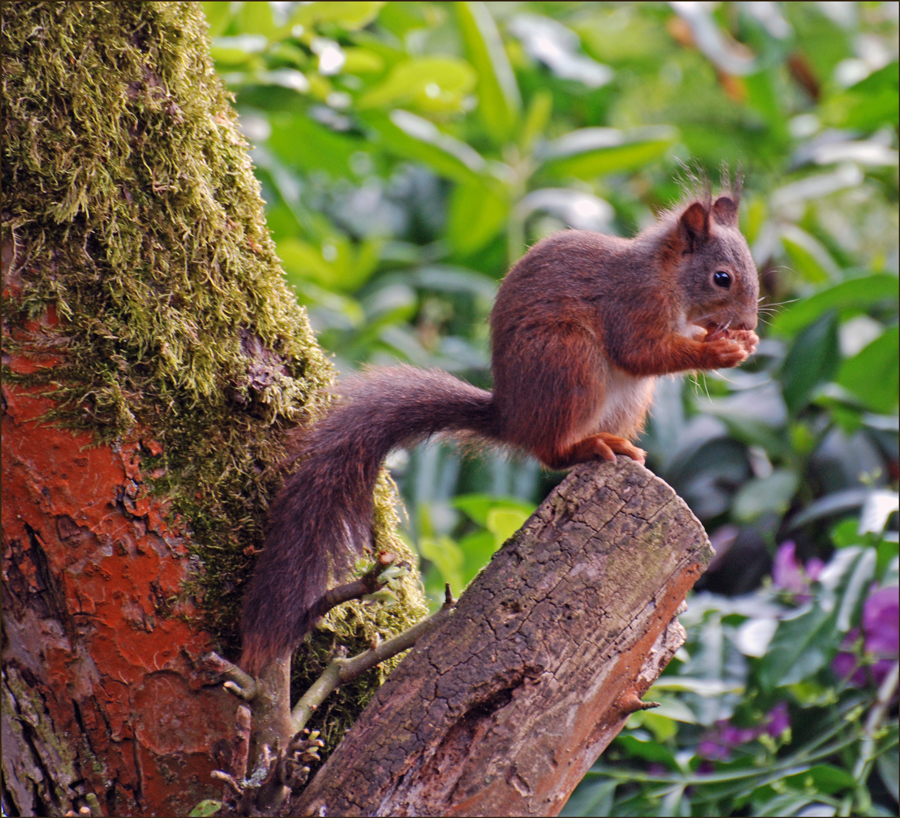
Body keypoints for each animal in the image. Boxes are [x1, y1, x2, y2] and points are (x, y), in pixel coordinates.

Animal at [239, 186, 760, 676]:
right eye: (722, 278)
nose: (750, 323)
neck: (667, 277)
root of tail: (512, 417)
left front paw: (740, 341)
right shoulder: (633, 305)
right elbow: (641, 351)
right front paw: (719, 350)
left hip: (626, 397)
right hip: (570, 361)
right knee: (551, 451)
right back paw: (590, 445)